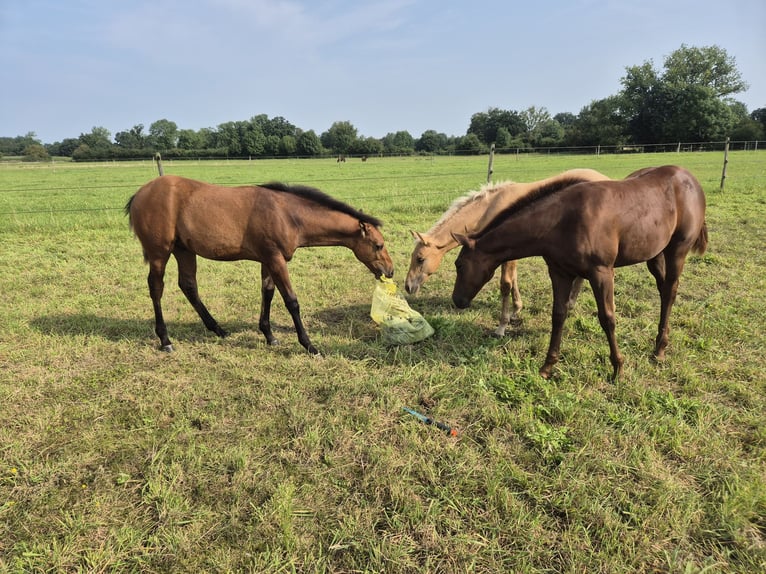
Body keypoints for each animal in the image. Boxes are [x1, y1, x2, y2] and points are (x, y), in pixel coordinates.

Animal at [126, 176, 396, 356]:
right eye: (379, 245)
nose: (390, 271)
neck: (288, 214)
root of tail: (140, 193)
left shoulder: (268, 260)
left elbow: (267, 293)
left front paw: (269, 335)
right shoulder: (275, 259)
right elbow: (291, 301)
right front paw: (309, 345)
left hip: (184, 250)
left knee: (188, 285)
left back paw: (218, 329)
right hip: (160, 253)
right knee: (156, 288)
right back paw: (165, 340)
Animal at [402, 169, 612, 336]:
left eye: (420, 259)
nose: (408, 287)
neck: (491, 207)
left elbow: (506, 284)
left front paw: (502, 327)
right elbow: (514, 280)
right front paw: (516, 310)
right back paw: (571, 303)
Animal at [452, 165, 712, 382]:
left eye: (459, 264)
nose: (457, 301)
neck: (561, 221)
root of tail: (690, 178)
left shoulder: (601, 273)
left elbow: (607, 318)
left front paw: (618, 368)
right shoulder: (559, 272)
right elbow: (558, 315)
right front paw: (547, 367)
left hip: (677, 249)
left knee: (670, 290)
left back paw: (659, 350)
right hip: (654, 253)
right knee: (663, 290)